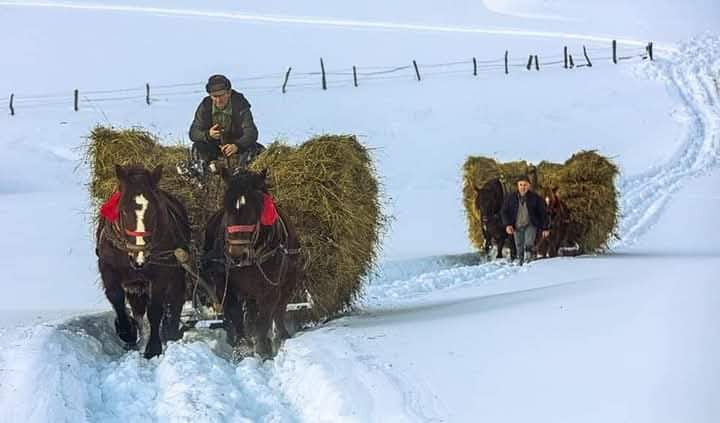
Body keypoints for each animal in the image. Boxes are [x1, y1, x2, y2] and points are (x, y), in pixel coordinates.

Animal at [96, 166, 191, 358]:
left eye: (154, 210)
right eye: (123, 210)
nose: (140, 256)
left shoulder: (160, 275)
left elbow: (155, 309)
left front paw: (153, 348)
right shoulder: (108, 268)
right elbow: (116, 297)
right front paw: (127, 332)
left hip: (177, 270)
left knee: (176, 297)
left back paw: (171, 331)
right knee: (138, 308)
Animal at [201, 169, 302, 358]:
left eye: (256, 212)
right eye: (227, 209)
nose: (236, 255)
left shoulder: (270, 290)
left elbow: (265, 318)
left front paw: (263, 350)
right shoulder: (224, 285)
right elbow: (235, 314)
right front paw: (242, 347)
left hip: (289, 280)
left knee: (280, 308)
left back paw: (281, 336)